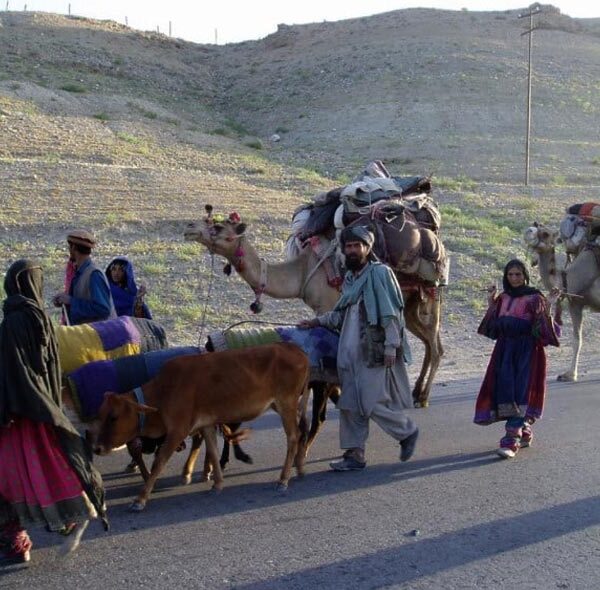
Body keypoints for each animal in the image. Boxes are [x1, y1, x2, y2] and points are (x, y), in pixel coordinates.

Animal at [94, 342, 312, 512]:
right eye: (101, 415)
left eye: (113, 417)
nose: (97, 448)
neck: (163, 392)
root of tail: (296, 349)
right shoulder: (206, 425)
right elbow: (213, 452)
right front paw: (217, 483)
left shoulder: (177, 431)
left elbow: (159, 463)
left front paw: (140, 500)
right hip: (285, 406)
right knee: (302, 431)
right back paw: (300, 469)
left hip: (286, 404)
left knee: (293, 436)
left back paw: (283, 479)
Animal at [185, 207, 442, 416]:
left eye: (218, 226)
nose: (189, 228)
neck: (301, 271)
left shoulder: (328, 305)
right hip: (410, 305)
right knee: (429, 342)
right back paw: (416, 393)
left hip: (431, 294)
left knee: (435, 345)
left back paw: (423, 397)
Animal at [520, 223, 600, 384]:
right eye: (535, 225)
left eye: (545, 233)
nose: (528, 231)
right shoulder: (576, 304)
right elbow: (577, 339)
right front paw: (569, 375)